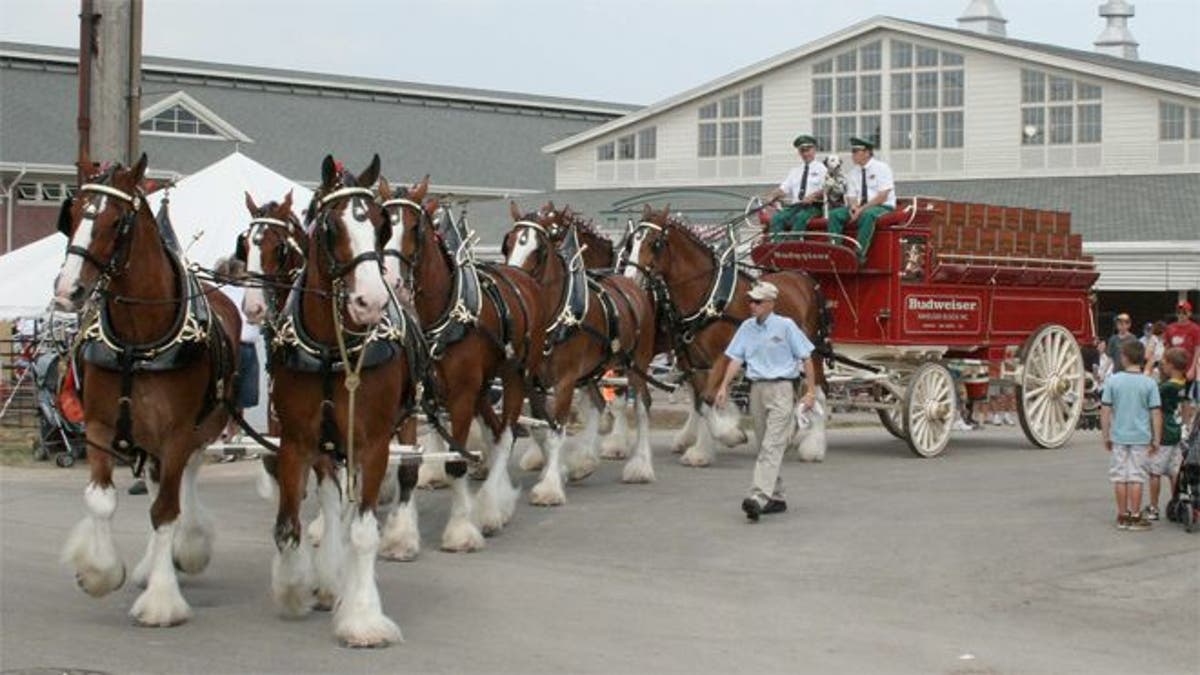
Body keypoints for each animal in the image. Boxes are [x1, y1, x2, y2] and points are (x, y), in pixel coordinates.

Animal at [54, 149, 240, 624]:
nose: (68, 290)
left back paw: (185, 548)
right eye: (73, 214)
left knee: (185, 479)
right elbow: (102, 500)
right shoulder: (99, 427)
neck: (136, 343)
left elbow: (166, 511)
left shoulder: (176, 432)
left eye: (117, 221)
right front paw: (100, 572)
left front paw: (161, 599)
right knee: (158, 482)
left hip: (203, 425)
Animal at [265, 154, 415, 643]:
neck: (334, 350)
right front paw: (294, 588)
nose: (370, 302)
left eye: (382, 227)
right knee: (332, 502)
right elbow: (288, 525)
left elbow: (364, 532)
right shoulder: (296, 440)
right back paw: (330, 577)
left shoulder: (374, 443)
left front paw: (363, 617)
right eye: (331, 227)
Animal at [379, 176, 544, 542]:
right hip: (482, 388)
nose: (393, 282)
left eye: (414, 227)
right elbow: (407, 468)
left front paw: (460, 530)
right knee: (495, 431)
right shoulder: (413, 397)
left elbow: (455, 463)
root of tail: (521, 278)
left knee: (506, 434)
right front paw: (401, 537)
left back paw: (492, 508)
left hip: (514, 375)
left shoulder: (460, 397)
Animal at [504, 199, 662, 499]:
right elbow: (541, 428)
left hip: (635, 364)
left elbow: (557, 429)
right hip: (591, 371)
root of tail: (631, 283)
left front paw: (550, 487)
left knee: (642, 406)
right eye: (507, 244)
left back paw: (641, 466)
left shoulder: (565, 380)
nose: (514, 284)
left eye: (539, 250)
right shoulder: (532, 381)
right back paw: (585, 462)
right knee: (599, 404)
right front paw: (558, 470)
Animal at [624, 205, 830, 468]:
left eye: (655, 243)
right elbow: (703, 402)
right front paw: (704, 449)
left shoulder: (724, 354)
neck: (709, 297)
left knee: (819, 390)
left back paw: (813, 447)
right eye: (632, 242)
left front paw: (729, 433)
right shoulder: (695, 361)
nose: (630, 279)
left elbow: (709, 397)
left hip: (812, 350)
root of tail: (804, 278)